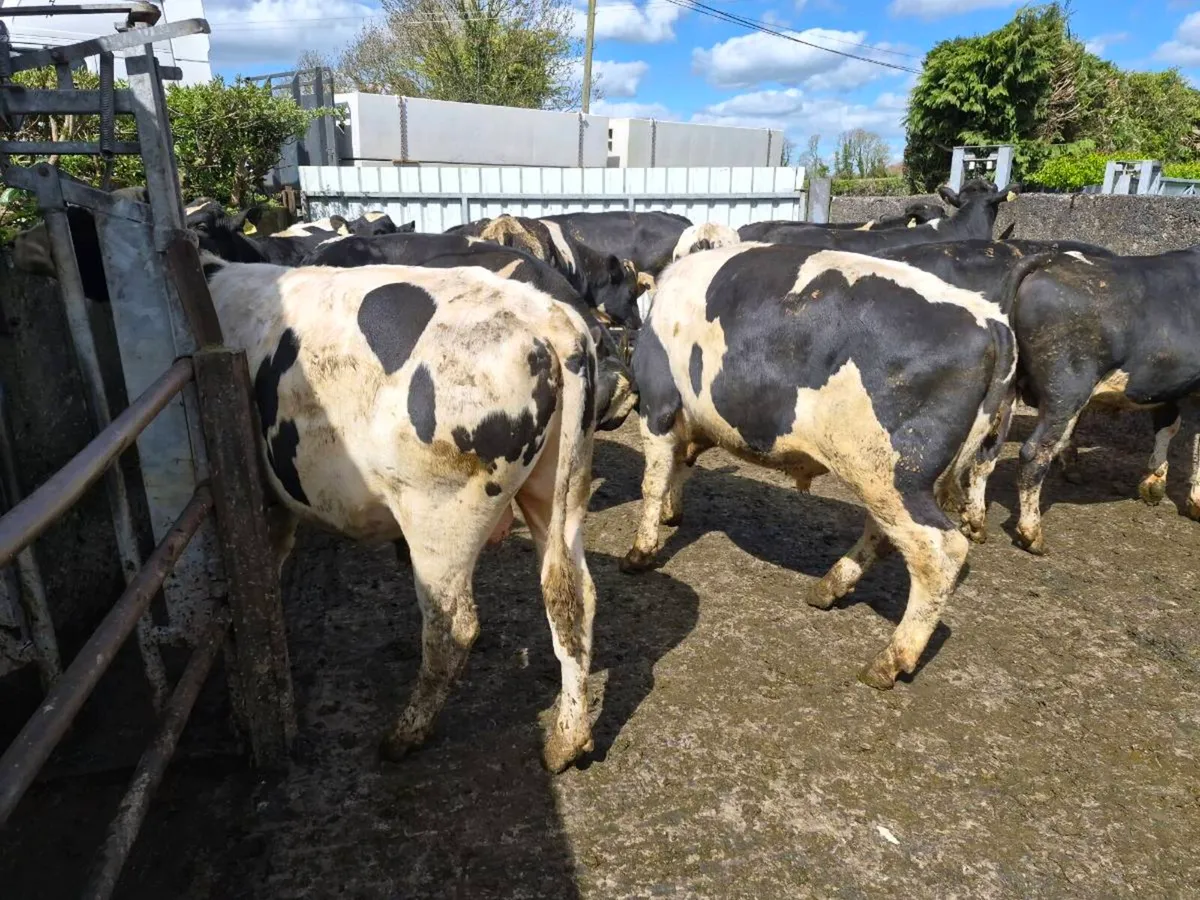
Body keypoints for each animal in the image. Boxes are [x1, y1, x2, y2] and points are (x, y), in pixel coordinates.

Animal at [14, 215, 608, 773]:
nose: (21, 243)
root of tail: (546, 318)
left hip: (440, 513)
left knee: (453, 626)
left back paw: (405, 734)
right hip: (559, 488)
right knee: (571, 594)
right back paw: (567, 740)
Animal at [622, 242, 1016, 689]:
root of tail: (991, 319)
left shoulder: (658, 406)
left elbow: (652, 482)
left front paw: (640, 552)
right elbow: (680, 466)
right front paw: (672, 512)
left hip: (893, 475)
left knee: (940, 552)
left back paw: (889, 660)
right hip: (888, 479)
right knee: (884, 533)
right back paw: (830, 587)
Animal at [994, 248, 1200, 555]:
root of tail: (1046, 262)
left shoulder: (1168, 383)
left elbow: (1167, 427)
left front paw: (1154, 482)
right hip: (1066, 391)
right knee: (1034, 453)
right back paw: (1032, 534)